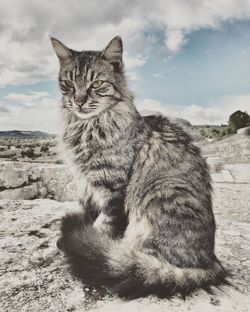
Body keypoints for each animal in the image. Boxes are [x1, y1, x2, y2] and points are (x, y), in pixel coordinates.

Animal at [50, 35, 229, 298]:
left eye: (96, 84)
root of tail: (212, 263)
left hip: (159, 194)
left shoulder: (112, 187)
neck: (86, 127)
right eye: (69, 84)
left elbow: (103, 225)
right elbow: (88, 214)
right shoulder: (86, 185)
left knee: (139, 261)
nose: (79, 101)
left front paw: (90, 240)